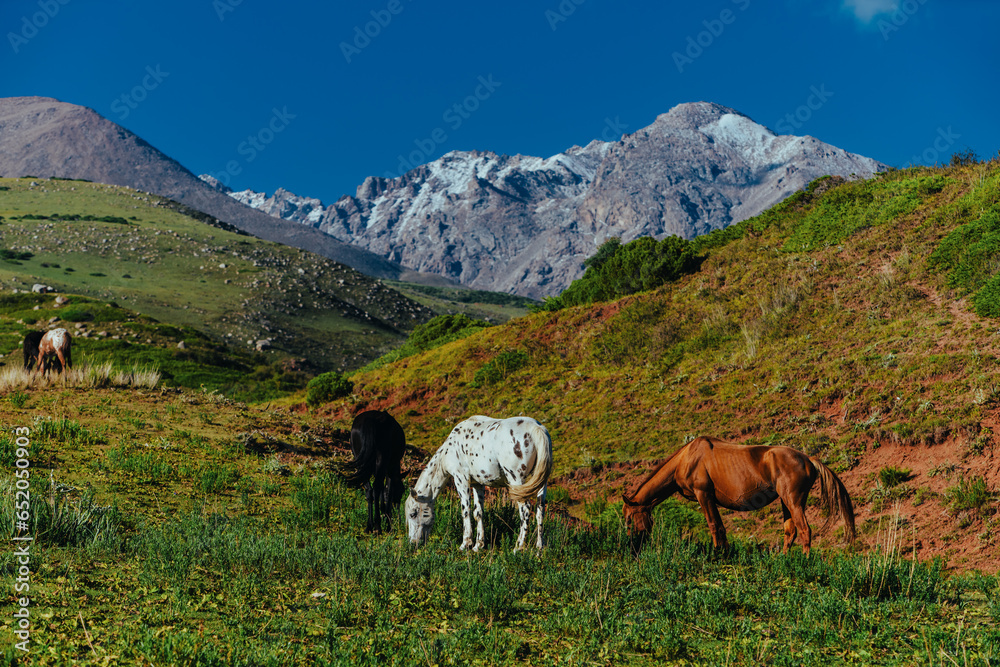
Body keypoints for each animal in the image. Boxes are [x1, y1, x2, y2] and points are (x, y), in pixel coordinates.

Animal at [404, 414, 552, 552]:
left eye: (413, 514)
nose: (413, 543)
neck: (450, 449)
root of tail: (536, 428)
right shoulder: (477, 484)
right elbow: (478, 512)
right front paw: (478, 545)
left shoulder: (461, 478)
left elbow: (466, 511)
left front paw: (465, 544)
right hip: (540, 482)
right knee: (540, 510)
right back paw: (540, 547)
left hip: (516, 479)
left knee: (525, 509)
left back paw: (518, 546)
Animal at [620, 436, 856, 556]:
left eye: (629, 518)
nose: (632, 544)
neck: (686, 459)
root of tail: (808, 459)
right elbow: (720, 527)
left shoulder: (703, 495)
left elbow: (714, 525)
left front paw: (718, 554)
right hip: (787, 502)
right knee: (791, 531)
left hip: (794, 501)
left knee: (805, 530)